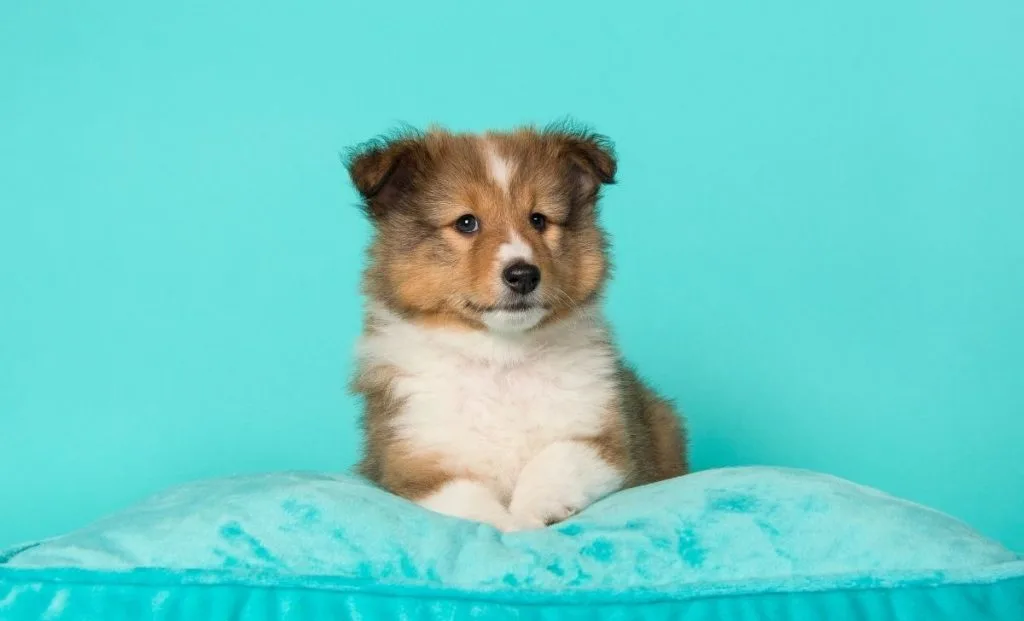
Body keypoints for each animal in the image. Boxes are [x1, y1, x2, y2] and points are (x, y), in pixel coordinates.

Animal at [344, 123, 688, 532]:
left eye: (538, 219)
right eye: (466, 223)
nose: (523, 275)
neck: (501, 357)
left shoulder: (613, 438)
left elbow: (561, 456)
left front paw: (530, 512)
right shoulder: (409, 463)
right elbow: (468, 499)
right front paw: (506, 528)